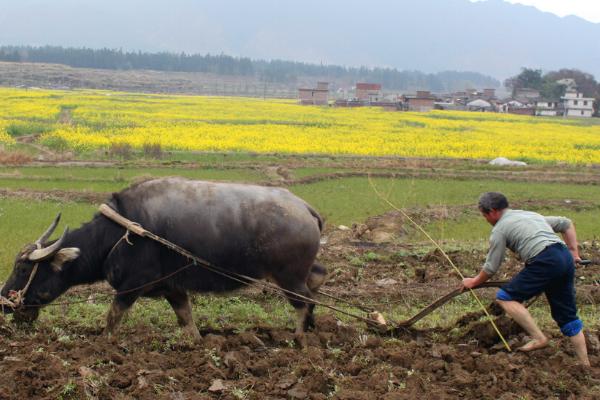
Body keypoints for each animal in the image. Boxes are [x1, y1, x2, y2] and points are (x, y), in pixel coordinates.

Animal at [1, 178, 328, 340]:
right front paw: (195, 342)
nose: (5, 302)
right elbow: (186, 319)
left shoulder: (131, 286)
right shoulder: (173, 288)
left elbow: (112, 319)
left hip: (288, 276)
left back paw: (299, 339)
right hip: (299, 272)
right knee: (317, 281)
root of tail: (305, 208)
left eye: (23, 268)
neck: (119, 233)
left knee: (303, 302)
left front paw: (103, 343)